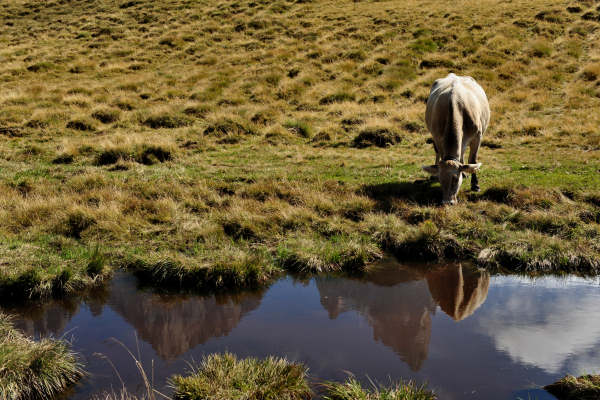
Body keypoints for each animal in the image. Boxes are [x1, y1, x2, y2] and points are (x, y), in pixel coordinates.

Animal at [424, 74, 490, 205]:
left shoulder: (477, 137)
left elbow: (473, 160)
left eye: (455, 179)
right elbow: (441, 154)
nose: (447, 202)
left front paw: (475, 185)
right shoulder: (437, 137)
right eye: (441, 180)